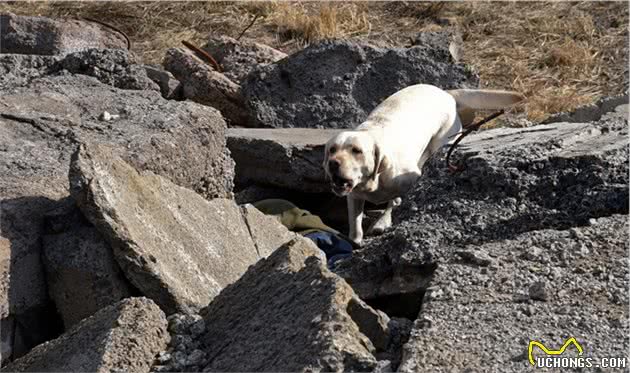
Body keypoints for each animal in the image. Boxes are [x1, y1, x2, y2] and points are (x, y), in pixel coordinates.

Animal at [324, 83, 524, 243]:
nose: (333, 163)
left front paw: (382, 222)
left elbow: (394, 203)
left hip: (441, 142)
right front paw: (355, 241)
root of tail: (445, 92)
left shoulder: (408, 181)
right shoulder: (354, 196)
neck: (375, 181)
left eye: (356, 150)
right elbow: (355, 225)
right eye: (332, 150)